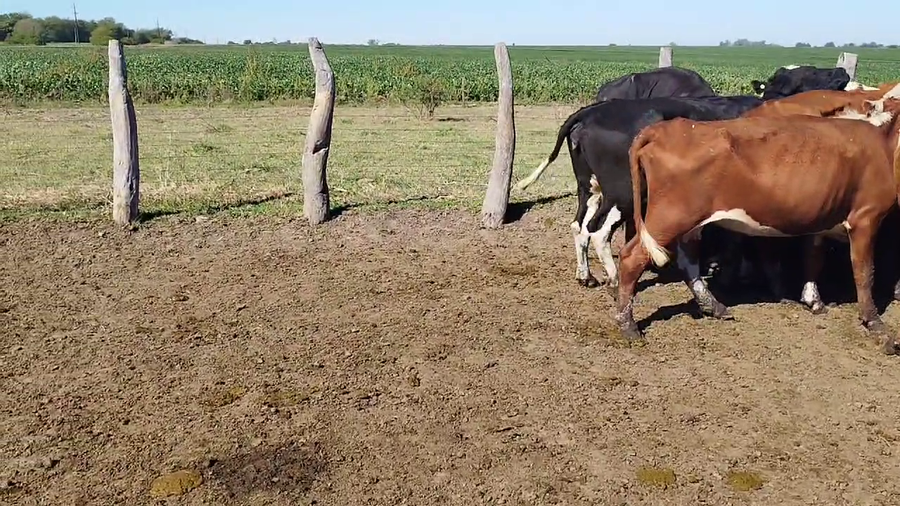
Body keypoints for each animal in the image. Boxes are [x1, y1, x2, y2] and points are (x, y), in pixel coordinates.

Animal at [515, 95, 764, 291]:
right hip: (623, 194)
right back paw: (615, 278)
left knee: (579, 225)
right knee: (598, 230)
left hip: (589, 187)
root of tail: (589, 112)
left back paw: (586, 276)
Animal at [614, 92, 900, 355]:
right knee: (631, 258)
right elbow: (864, 272)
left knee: (687, 260)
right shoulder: (866, 217)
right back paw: (628, 325)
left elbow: (814, 257)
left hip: (687, 221)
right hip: (670, 216)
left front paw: (814, 300)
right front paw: (874, 321)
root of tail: (664, 128)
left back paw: (714, 306)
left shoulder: (822, 215)